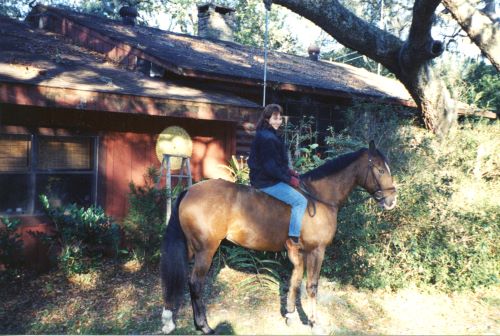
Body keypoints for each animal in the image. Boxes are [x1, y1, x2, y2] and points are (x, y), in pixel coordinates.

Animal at [161, 140, 398, 334]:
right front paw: (313, 323)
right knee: (195, 282)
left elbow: (295, 280)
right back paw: (204, 326)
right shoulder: (317, 250)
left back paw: (172, 320)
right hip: (206, 250)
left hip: (191, 248)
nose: (391, 200)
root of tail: (190, 191)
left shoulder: (299, 251)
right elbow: (311, 285)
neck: (319, 197)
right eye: (379, 169)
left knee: (178, 278)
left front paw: (291, 315)